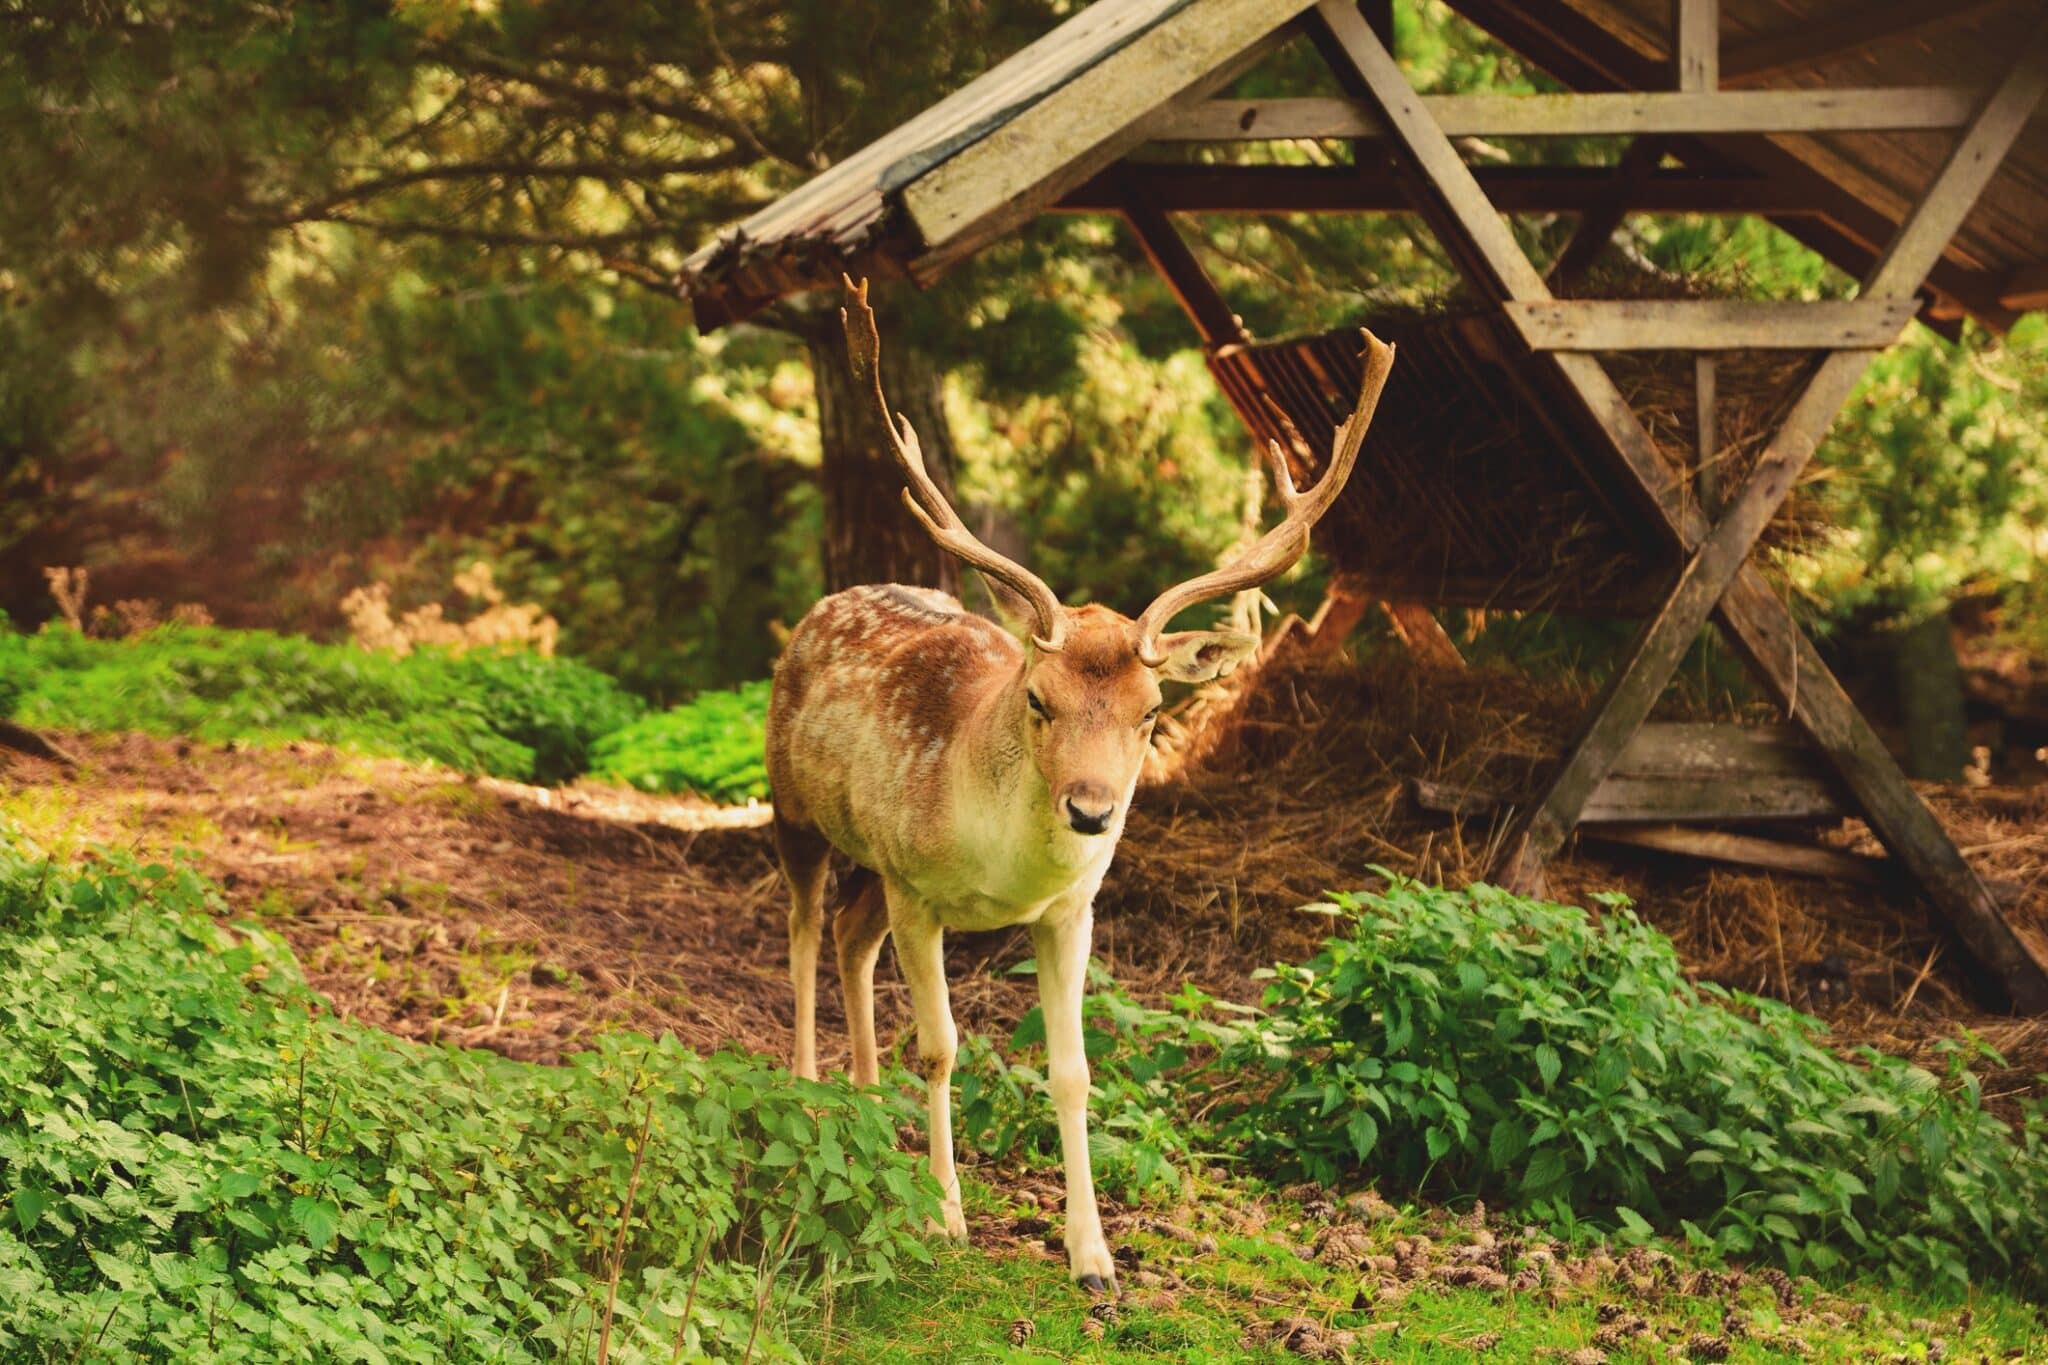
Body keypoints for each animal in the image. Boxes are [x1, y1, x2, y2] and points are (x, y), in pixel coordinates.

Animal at [770, 278, 1392, 1293]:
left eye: (1152, 709)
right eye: (1039, 698)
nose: (1092, 809)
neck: (997, 869)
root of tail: (823, 604)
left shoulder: (1071, 907)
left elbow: (1073, 1070)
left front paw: (1093, 1255)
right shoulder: (917, 888)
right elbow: (940, 1048)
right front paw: (945, 1218)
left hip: (871, 864)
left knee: (853, 937)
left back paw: (863, 1099)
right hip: (795, 810)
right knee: (803, 930)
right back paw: (808, 1086)